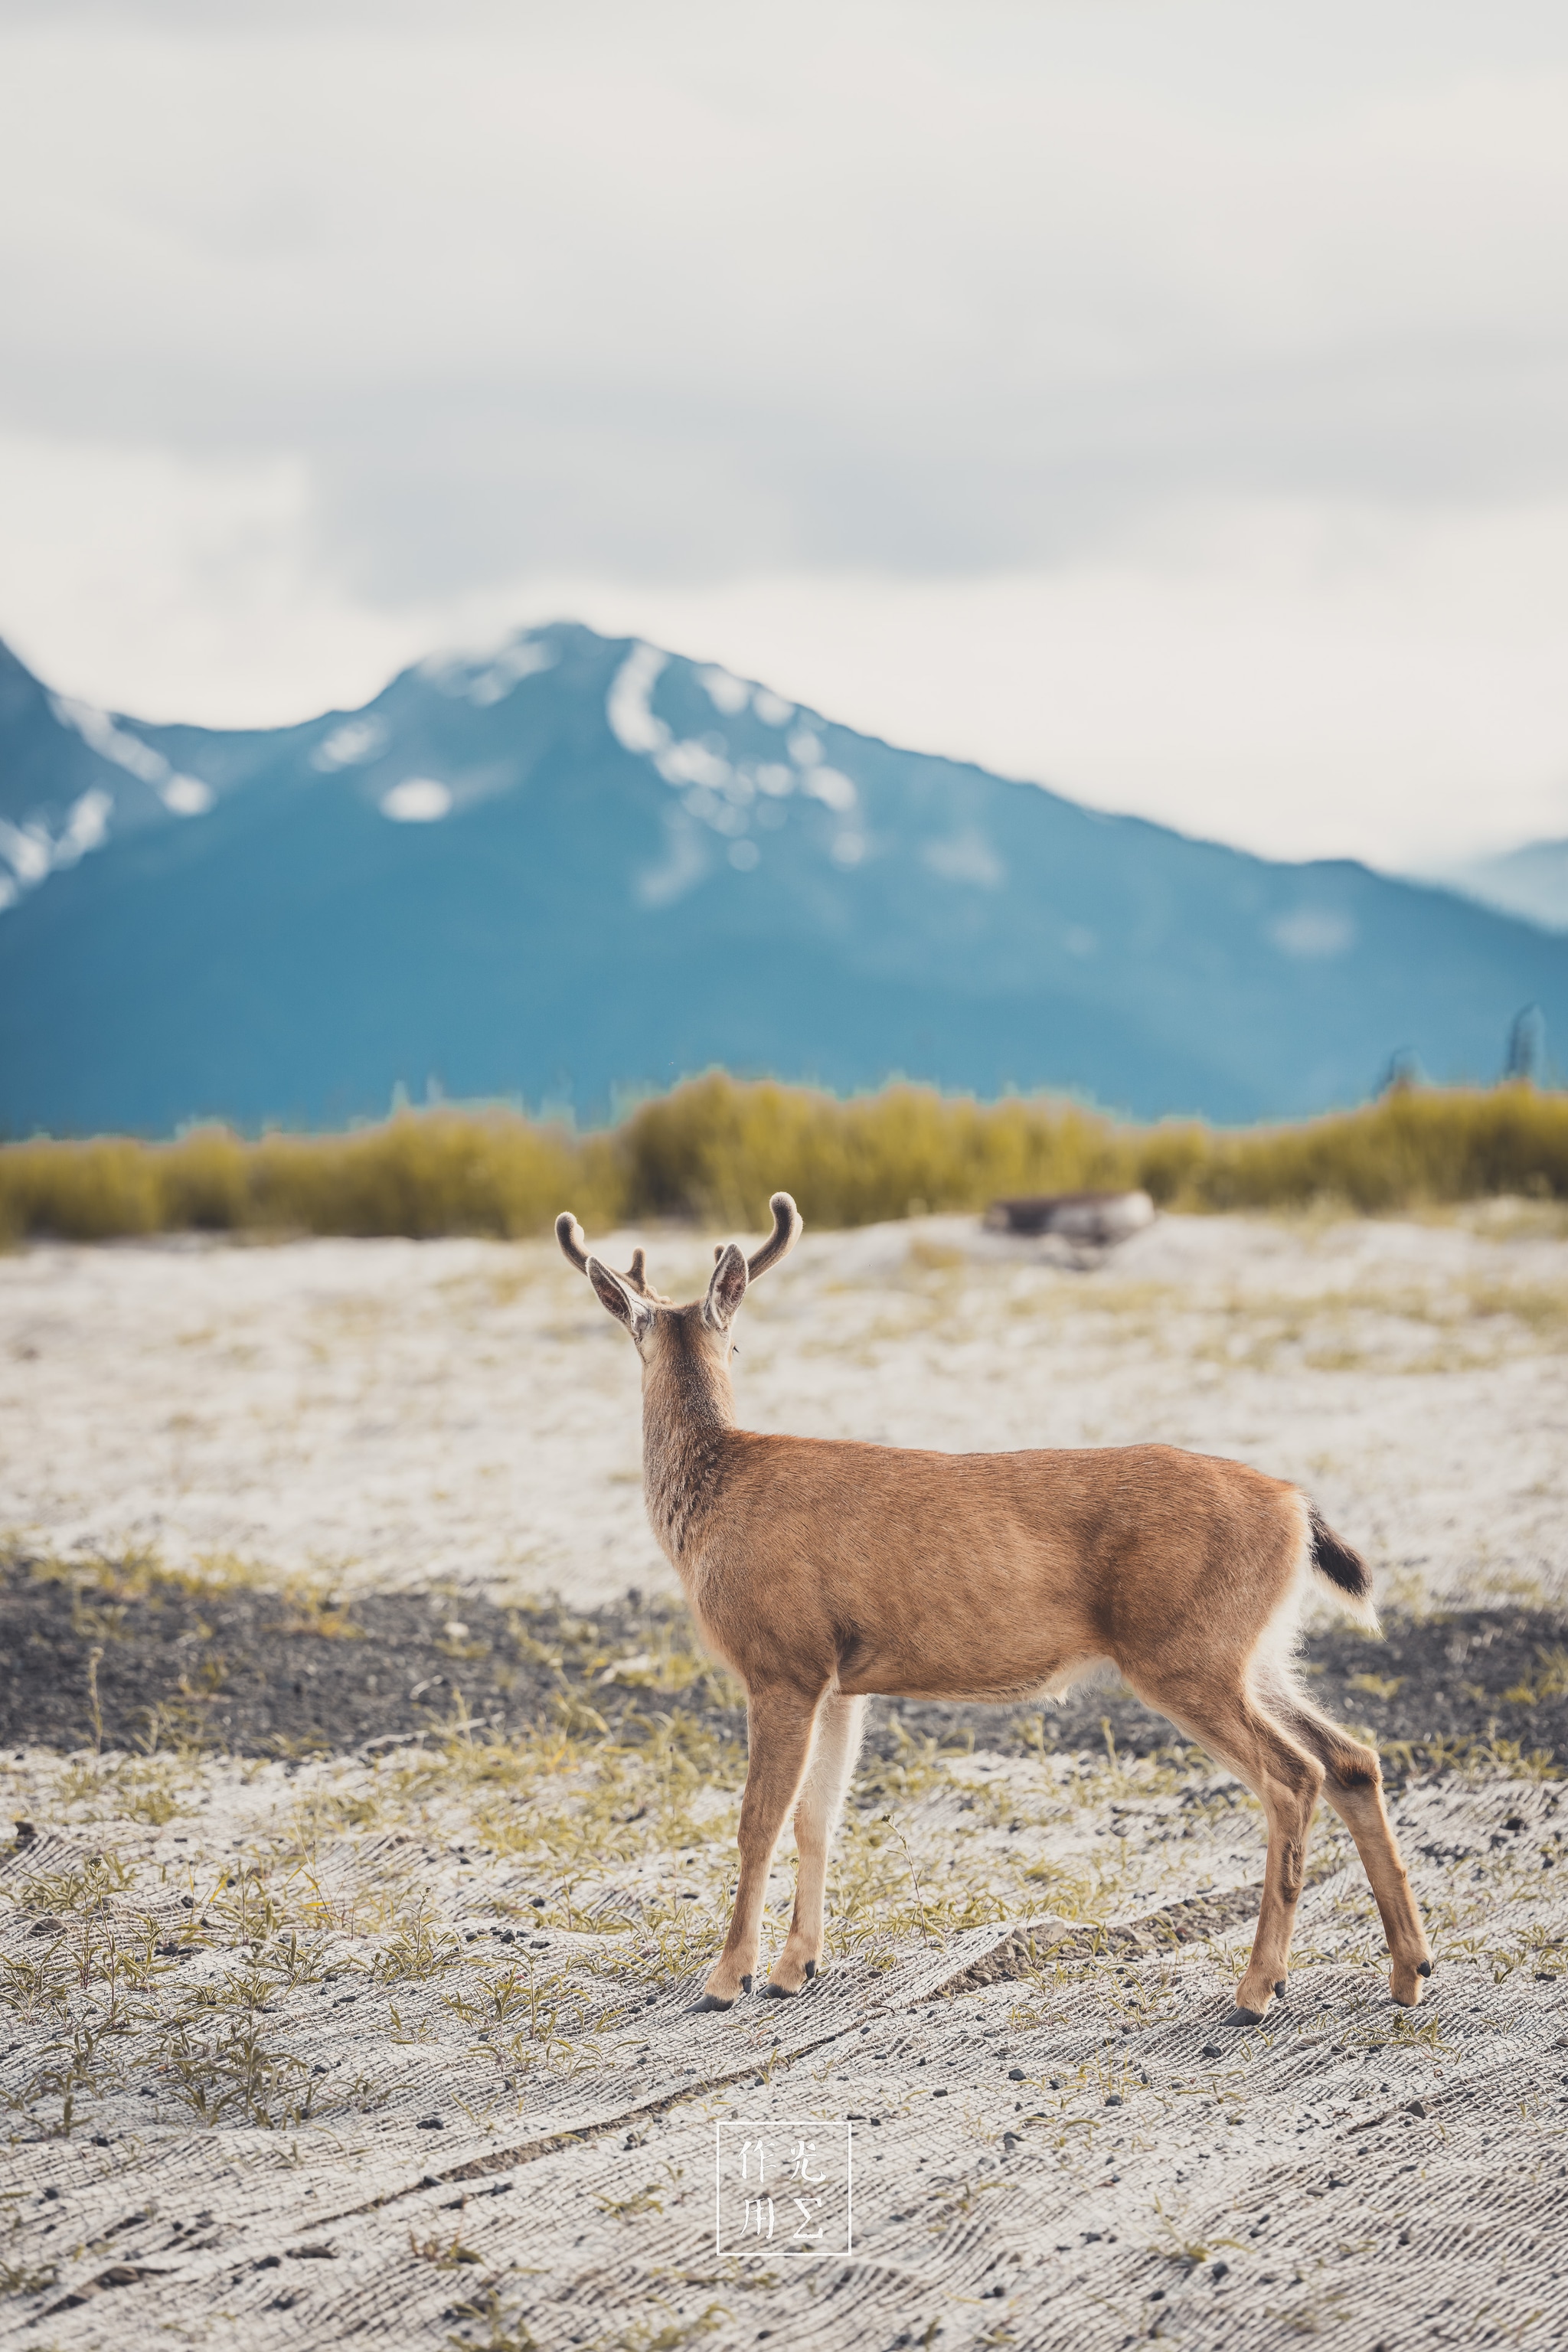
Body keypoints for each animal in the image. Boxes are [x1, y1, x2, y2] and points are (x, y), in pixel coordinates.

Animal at [556, 1192, 1432, 2024]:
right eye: (730, 1346)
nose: (754, 1974)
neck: (716, 1494)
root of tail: (1295, 1507)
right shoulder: (837, 1680)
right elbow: (818, 1817)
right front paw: (793, 1970)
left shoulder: (781, 1660)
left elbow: (756, 1821)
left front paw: (726, 1979)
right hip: (1254, 1651)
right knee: (1352, 1758)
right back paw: (1408, 1972)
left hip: (1186, 1652)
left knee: (1293, 1777)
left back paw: (1257, 1990)